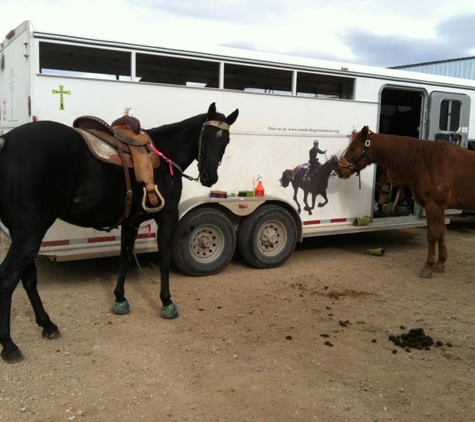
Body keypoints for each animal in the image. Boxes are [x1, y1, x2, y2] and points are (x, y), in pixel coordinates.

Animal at [0, 102, 238, 362]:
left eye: (226, 140)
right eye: (207, 136)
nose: (209, 177)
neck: (165, 154)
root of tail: (6, 142)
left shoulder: (131, 222)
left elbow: (124, 257)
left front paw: (120, 299)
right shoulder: (168, 217)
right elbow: (164, 260)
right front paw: (166, 302)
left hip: (23, 234)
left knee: (28, 277)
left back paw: (47, 325)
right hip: (30, 233)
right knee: (9, 277)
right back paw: (9, 345)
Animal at [338, 123, 475, 278]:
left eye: (353, 147)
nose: (339, 170)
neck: (427, 162)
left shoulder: (433, 206)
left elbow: (432, 235)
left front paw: (428, 267)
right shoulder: (440, 207)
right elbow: (441, 234)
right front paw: (440, 263)